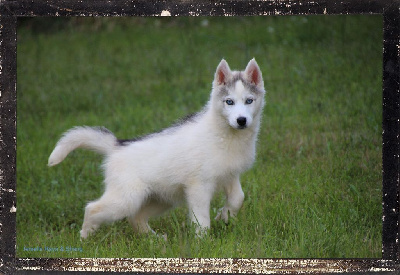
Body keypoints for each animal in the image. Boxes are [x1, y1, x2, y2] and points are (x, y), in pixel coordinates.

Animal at [47, 58, 266, 239]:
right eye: (229, 102)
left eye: (249, 100)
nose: (241, 120)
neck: (226, 136)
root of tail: (117, 145)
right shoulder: (199, 187)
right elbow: (201, 218)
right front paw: (203, 241)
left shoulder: (230, 175)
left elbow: (238, 198)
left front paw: (224, 216)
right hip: (126, 198)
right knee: (92, 208)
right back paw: (85, 236)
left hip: (161, 198)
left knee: (135, 217)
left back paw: (154, 239)